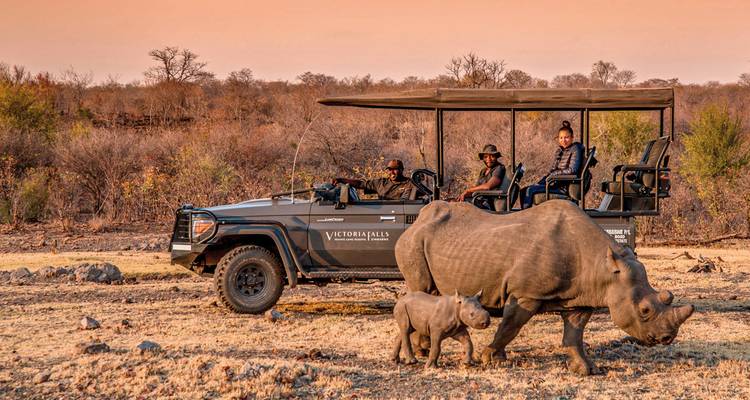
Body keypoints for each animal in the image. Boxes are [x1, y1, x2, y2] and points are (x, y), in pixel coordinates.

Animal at [395, 200, 694, 376]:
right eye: (644, 310)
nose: (666, 339)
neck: (603, 265)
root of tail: (417, 220)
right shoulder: (526, 294)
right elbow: (511, 326)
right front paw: (490, 358)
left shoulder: (581, 296)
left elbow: (574, 334)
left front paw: (586, 369)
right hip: (412, 244)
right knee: (420, 286)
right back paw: (422, 352)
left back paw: (423, 350)